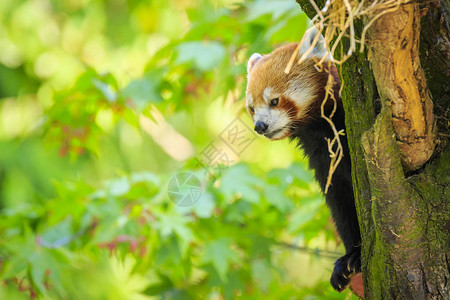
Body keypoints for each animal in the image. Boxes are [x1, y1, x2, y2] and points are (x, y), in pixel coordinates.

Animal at [246, 27, 362, 290]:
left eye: (274, 101)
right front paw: (349, 256)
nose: (260, 126)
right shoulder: (322, 156)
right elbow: (340, 200)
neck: (320, 129)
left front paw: (357, 256)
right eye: (252, 108)